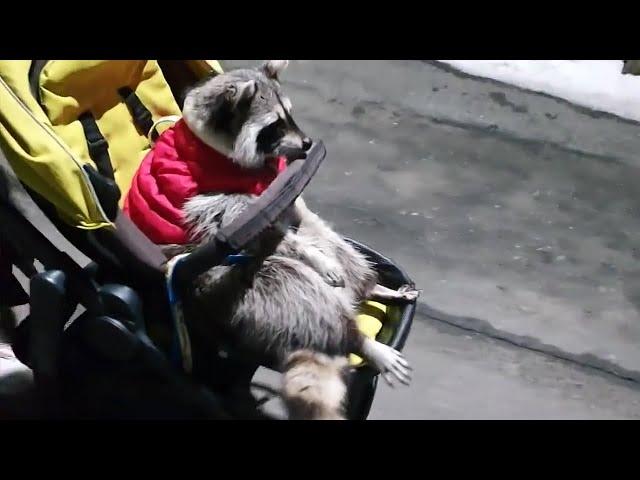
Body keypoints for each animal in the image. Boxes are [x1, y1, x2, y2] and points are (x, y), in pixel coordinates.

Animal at [175, 61, 418, 420]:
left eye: (290, 114)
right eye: (273, 125)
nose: (306, 143)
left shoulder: (282, 194)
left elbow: (297, 211)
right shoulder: (217, 202)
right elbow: (260, 231)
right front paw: (313, 257)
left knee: (334, 245)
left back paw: (372, 287)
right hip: (239, 285)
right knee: (298, 287)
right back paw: (361, 341)